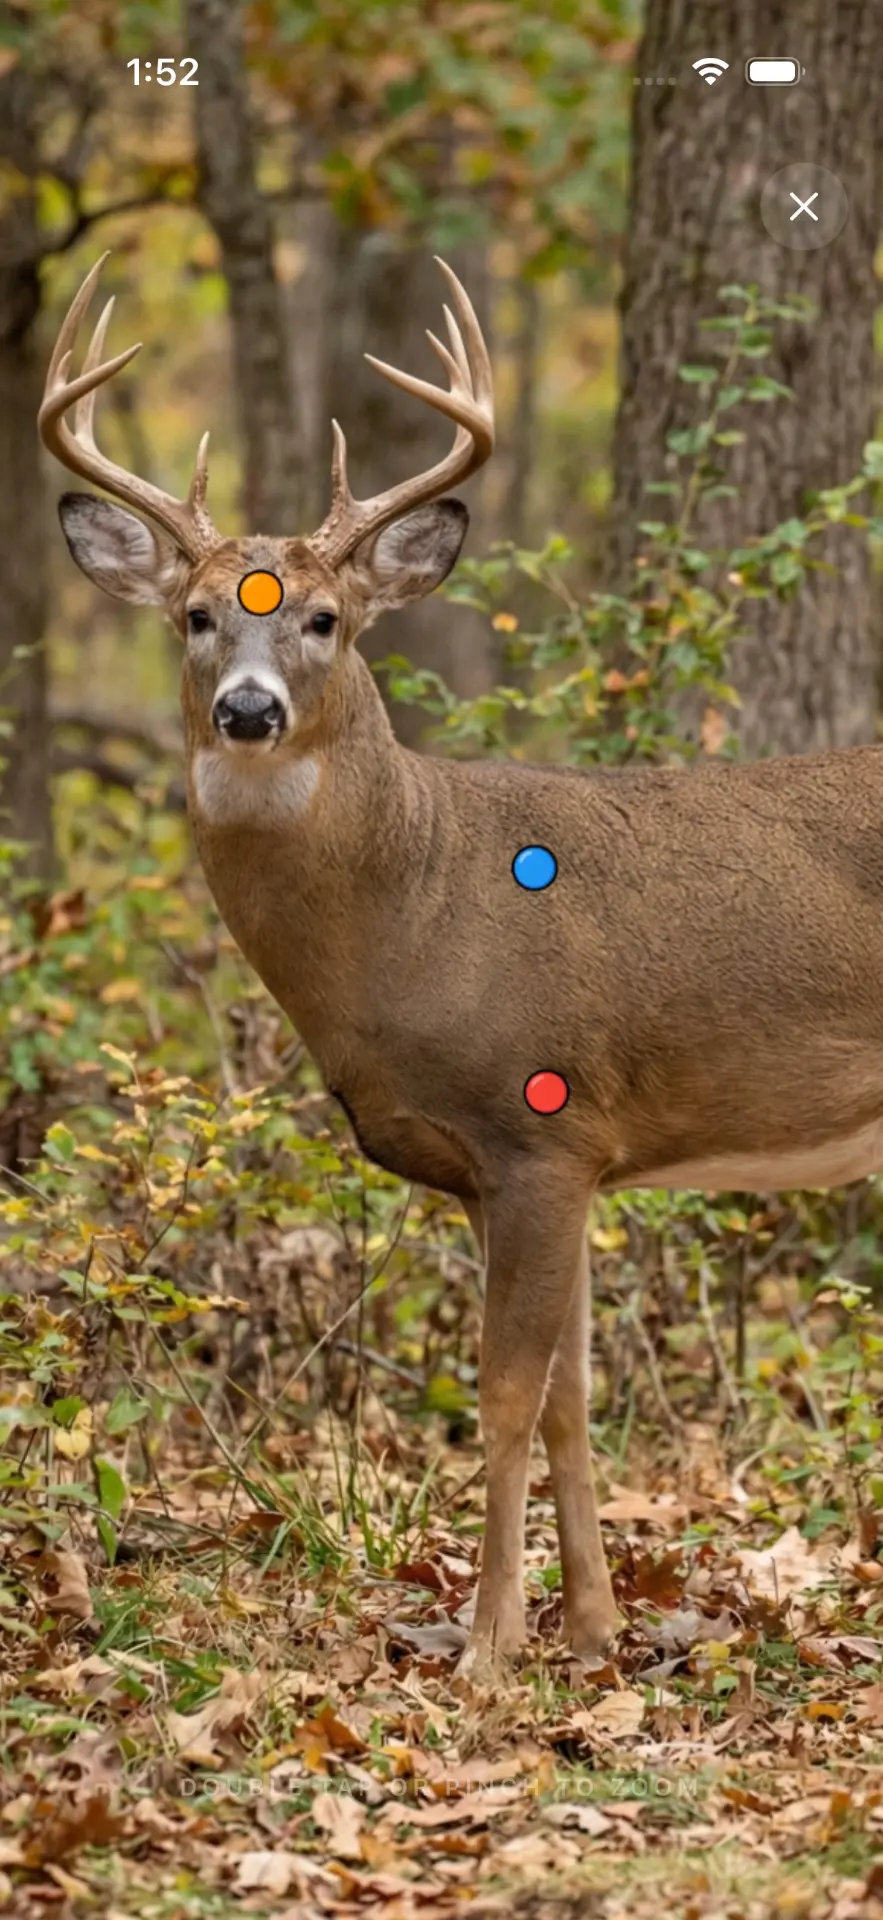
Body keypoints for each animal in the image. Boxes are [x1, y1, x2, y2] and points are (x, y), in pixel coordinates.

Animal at [39, 254, 883, 1678]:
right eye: (198, 615)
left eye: (327, 618)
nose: (248, 710)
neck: (418, 909)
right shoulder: (558, 1163)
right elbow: (574, 1401)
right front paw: (593, 1633)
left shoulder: (538, 1132)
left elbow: (502, 1400)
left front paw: (487, 1652)